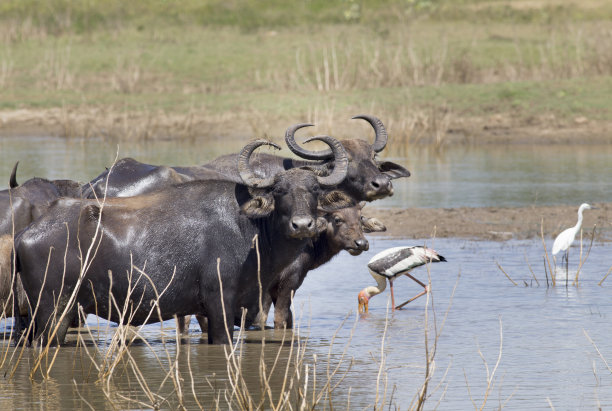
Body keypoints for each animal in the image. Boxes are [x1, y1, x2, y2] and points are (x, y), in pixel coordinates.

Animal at [14, 137, 352, 346]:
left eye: (314, 191)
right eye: (280, 191)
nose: (302, 225)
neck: (251, 232)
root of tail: (25, 234)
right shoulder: (220, 305)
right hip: (52, 311)